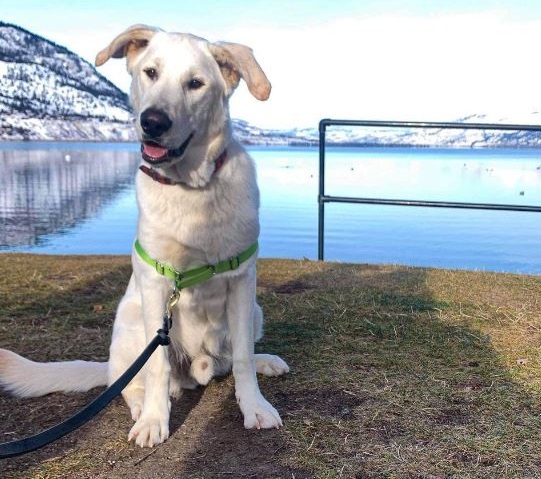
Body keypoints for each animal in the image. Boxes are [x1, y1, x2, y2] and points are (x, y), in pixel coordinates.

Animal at [0, 25, 286, 450]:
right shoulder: (155, 283)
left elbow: (243, 359)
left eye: (195, 83)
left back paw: (263, 361)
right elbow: (156, 368)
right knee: (134, 382)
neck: (191, 189)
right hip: (131, 320)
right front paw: (154, 419)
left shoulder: (241, 280)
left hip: (254, 310)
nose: (152, 121)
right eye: (150, 72)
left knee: (228, 359)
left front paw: (254, 406)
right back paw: (145, 405)